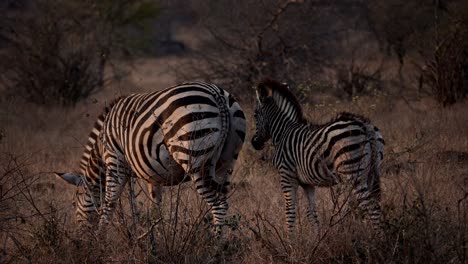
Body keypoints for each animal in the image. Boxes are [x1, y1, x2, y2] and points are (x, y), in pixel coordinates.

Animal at [54, 81, 247, 233]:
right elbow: (155, 205)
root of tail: (216, 94)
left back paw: (214, 246)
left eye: (74, 202)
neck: (102, 146)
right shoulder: (152, 173)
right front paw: (156, 235)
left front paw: (101, 240)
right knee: (224, 202)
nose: (81, 236)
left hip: (194, 156)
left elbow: (110, 202)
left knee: (218, 205)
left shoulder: (115, 161)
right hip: (227, 160)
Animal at [250, 79, 386, 236]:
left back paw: (378, 239)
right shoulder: (307, 183)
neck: (283, 132)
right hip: (372, 172)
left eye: (255, 115)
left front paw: (289, 241)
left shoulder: (286, 175)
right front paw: (318, 238)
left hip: (353, 173)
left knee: (372, 207)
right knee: (373, 204)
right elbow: (312, 213)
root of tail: (365, 125)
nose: (254, 143)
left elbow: (289, 211)